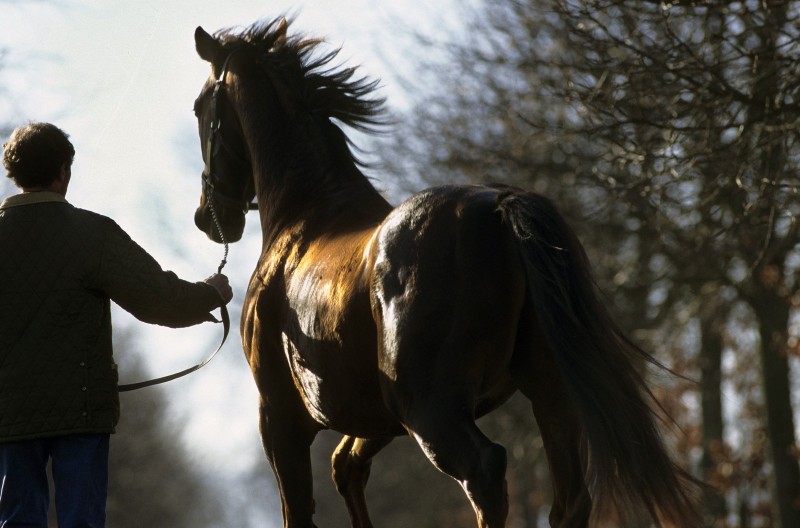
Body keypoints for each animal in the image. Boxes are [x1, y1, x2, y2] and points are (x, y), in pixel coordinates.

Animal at [192, 17, 700, 528]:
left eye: (200, 107)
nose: (207, 218)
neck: (306, 216)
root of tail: (500, 207)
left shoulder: (281, 419)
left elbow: (300, 507)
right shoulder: (377, 419)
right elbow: (346, 468)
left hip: (430, 408)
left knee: (486, 473)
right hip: (548, 395)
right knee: (569, 501)